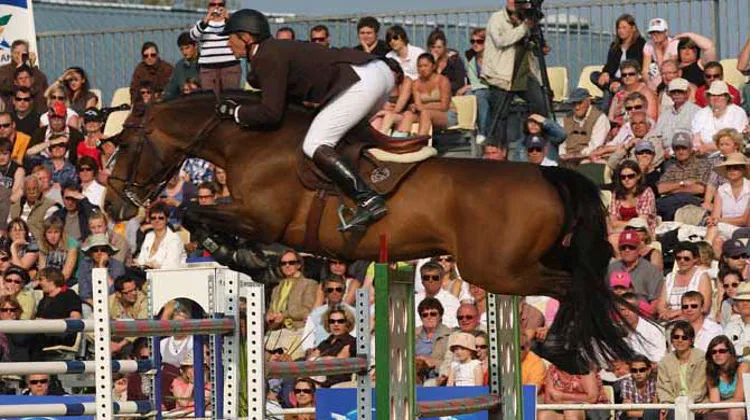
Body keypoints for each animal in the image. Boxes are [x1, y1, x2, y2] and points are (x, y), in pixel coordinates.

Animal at [104, 91, 632, 373]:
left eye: (126, 143)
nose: (112, 204)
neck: (248, 140)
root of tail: (546, 173)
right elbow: (200, 216)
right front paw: (249, 259)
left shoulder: (261, 218)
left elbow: (194, 213)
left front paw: (245, 258)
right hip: (529, 260)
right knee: (582, 281)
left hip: (496, 271)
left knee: (571, 287)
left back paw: (561, 352)